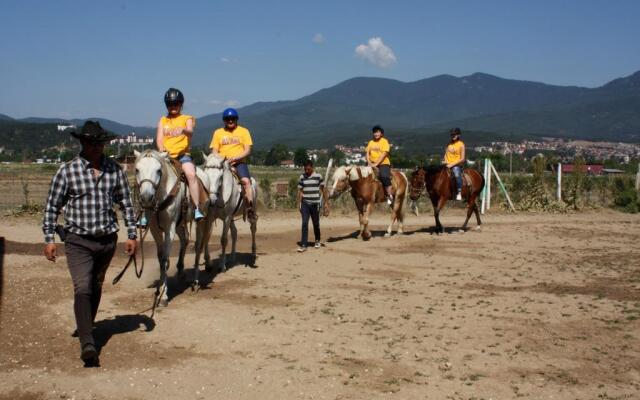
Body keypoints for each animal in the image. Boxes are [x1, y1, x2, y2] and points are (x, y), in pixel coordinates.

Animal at [134, 150, 210, 306]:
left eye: (158, 170)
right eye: (137, 170)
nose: (146, 197)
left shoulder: (170, 228)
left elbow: (165, 259)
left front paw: (163, 295)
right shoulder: (155, 229)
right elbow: (160, 258)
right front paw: (159, 289)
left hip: (200, 222)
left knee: (198, 246)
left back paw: (195, 282)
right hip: (180, 223)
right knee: (185, 240)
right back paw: (180, 271)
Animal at [199, 153, 258, 282]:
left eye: (220, 177)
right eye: (206, 174)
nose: (211, 200)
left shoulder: (226, 217)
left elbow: (224, 240)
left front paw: (222, 266)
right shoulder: (211, 217)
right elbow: (206, 236)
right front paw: (208, 264)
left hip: (251, 211)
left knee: (253, 229)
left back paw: (253, 252)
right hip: (231, 218)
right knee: (235, 232)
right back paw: (232, 256)